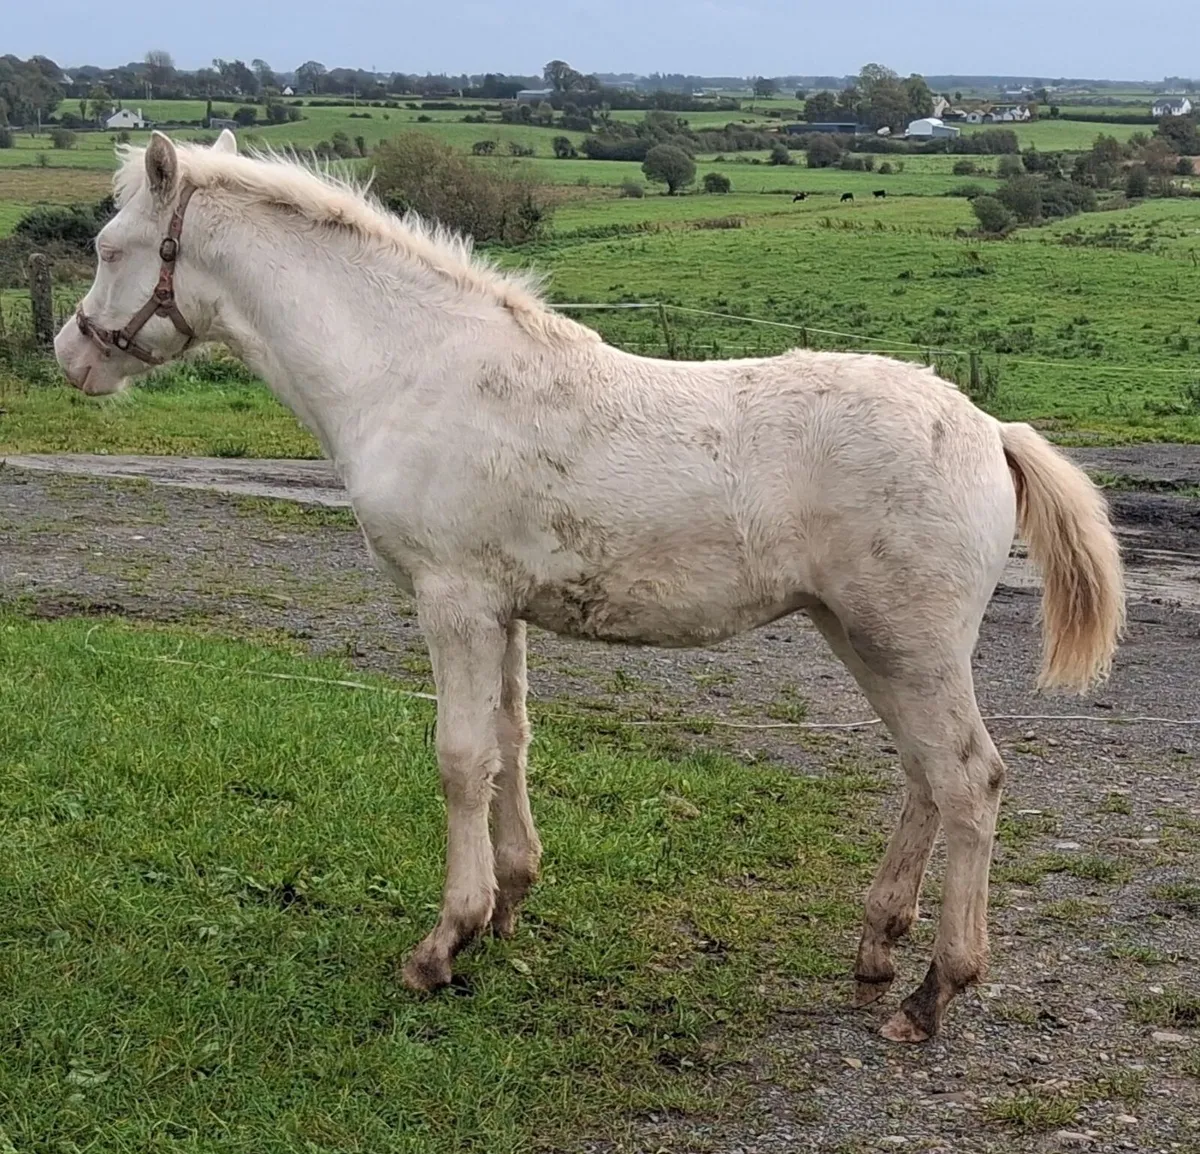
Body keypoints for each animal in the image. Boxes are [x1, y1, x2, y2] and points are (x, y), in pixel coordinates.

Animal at [55, 132, 1124, 1044]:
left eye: (110, 247)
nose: (71, 355)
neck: (416, 371)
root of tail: (989, 429)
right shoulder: (501, 610)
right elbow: (511, 745)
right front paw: (509, 903)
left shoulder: (452, 601)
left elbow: (460, 758)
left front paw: (442, 945)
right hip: (861, 635)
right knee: (923, 775)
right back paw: (876, 951)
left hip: (907, 642)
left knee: (970, 780)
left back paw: (934, 992)